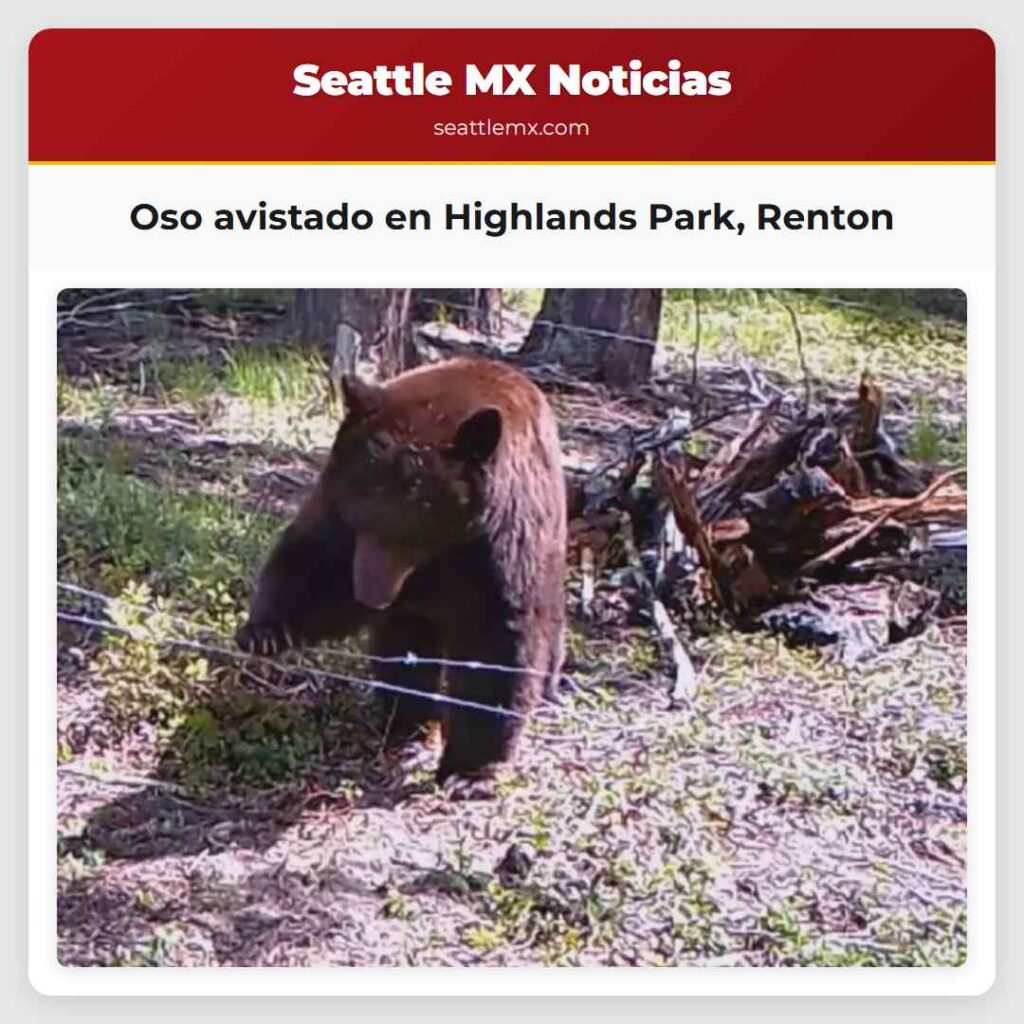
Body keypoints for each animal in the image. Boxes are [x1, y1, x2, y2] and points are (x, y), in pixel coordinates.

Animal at [236, 356, 567, 786]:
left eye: (409, 536)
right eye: (358, 521)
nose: (370, 595)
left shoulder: (500, 542)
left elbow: (497, 640)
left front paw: (469, 771)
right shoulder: (335, 509)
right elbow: (314, 561)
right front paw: (263, 632)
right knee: (405, 646)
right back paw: (408, 720)